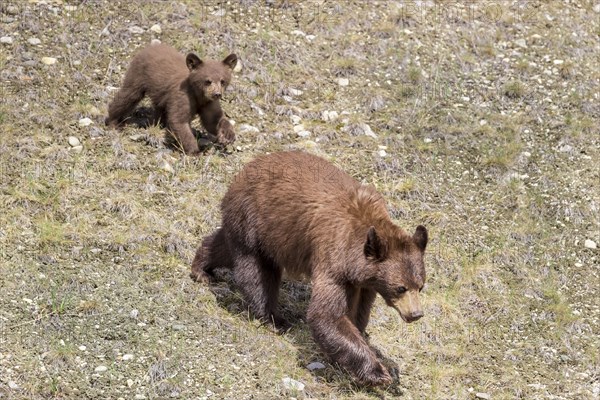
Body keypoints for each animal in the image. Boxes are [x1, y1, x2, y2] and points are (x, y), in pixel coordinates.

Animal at [190, 151, 428, 384]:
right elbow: (326, 315)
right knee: (257, 272)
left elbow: (357, 311)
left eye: (420, 286)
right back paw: (274, 318)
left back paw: (202, 267)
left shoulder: (364, 283)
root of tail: (245, 168)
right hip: (257, 221)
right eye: (401, 287)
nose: (416, 314)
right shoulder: (333, 261)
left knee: (225, 246)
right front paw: (378, 373)